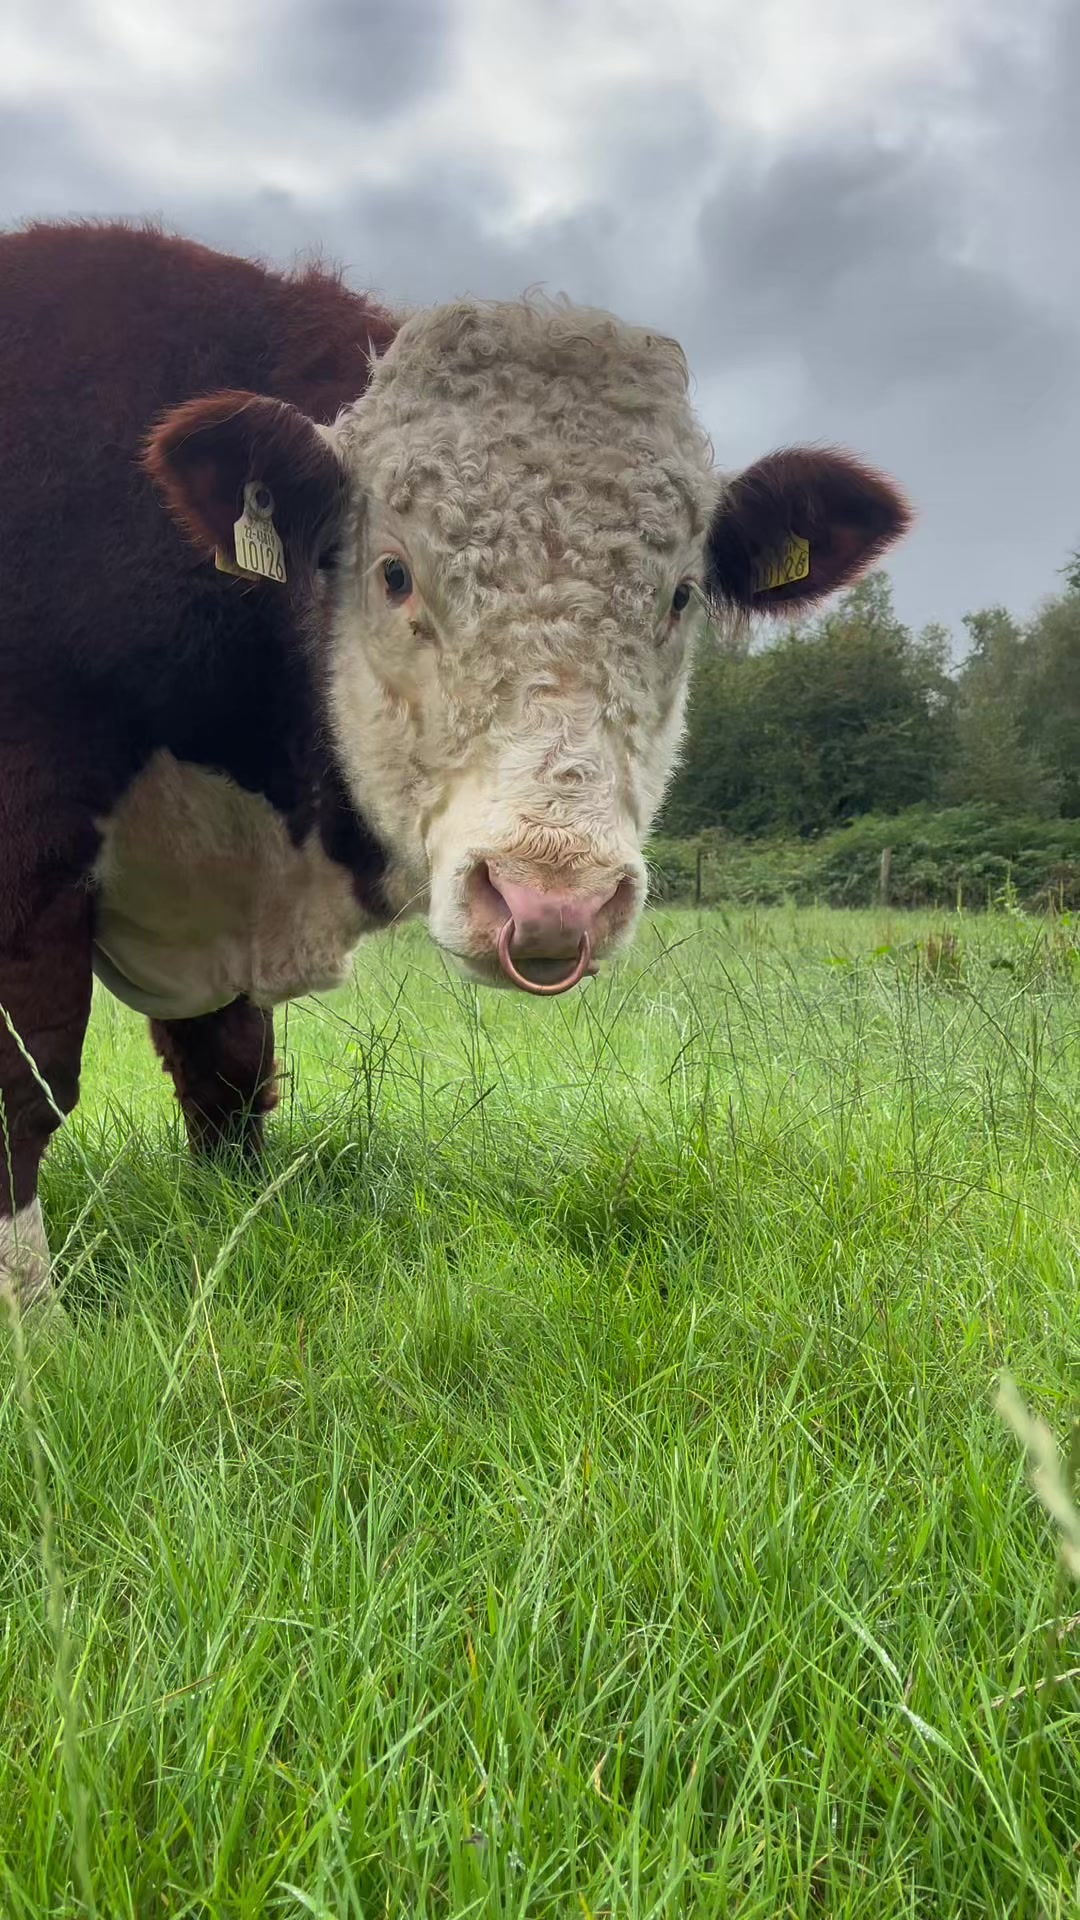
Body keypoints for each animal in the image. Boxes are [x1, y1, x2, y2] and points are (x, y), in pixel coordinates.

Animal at [0, 220, 910, 1319]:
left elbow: (229, 1080)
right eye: (394, 573)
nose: (552, 898)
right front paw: (36, 1330)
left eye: (681, 594)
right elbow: (22, 1087)